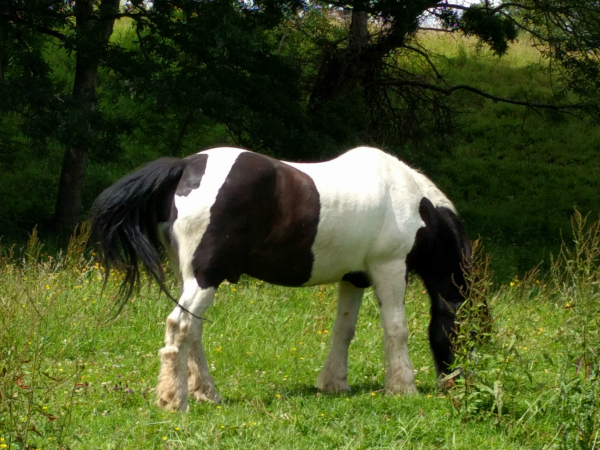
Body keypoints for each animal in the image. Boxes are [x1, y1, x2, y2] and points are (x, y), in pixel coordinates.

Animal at [91, 148, 472, 412]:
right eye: (466, 330)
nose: (459, 383)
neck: (409, 200)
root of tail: (186, 167)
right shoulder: (389, 268)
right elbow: (396, 329)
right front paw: (404, 387)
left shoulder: (354, 278)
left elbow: (344, 330)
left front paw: (333, 383)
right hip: (205, 276)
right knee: (180, 326)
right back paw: (175, 400)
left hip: (194, 279)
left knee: (193, 330)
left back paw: (206, 393)